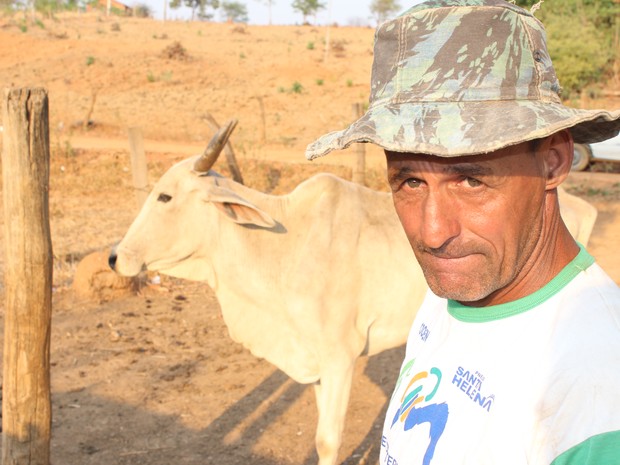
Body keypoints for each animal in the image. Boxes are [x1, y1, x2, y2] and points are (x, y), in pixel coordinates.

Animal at [110, 121, 596, 464]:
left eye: (165, 197)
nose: (116, 257)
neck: (282, 249)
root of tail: (580, 204)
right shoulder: (315, 365)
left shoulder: (340, 359)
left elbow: (328, 440)